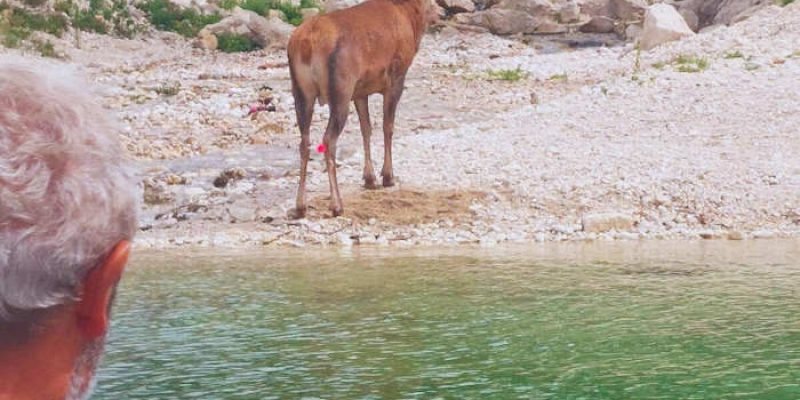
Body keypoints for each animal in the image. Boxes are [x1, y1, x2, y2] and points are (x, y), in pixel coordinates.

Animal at [286, 0, 438, 219]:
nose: (440, 12)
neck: (410, 17)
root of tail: (308, 43)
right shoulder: (396, 77)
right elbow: (387, 126)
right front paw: (388, 176)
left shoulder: (360, 91)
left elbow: (366, 129)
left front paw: (369, 178)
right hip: (341, 88)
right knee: (328, 140)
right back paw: (337, 205)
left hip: (301, 91)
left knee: (304, 141)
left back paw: (300, 206)